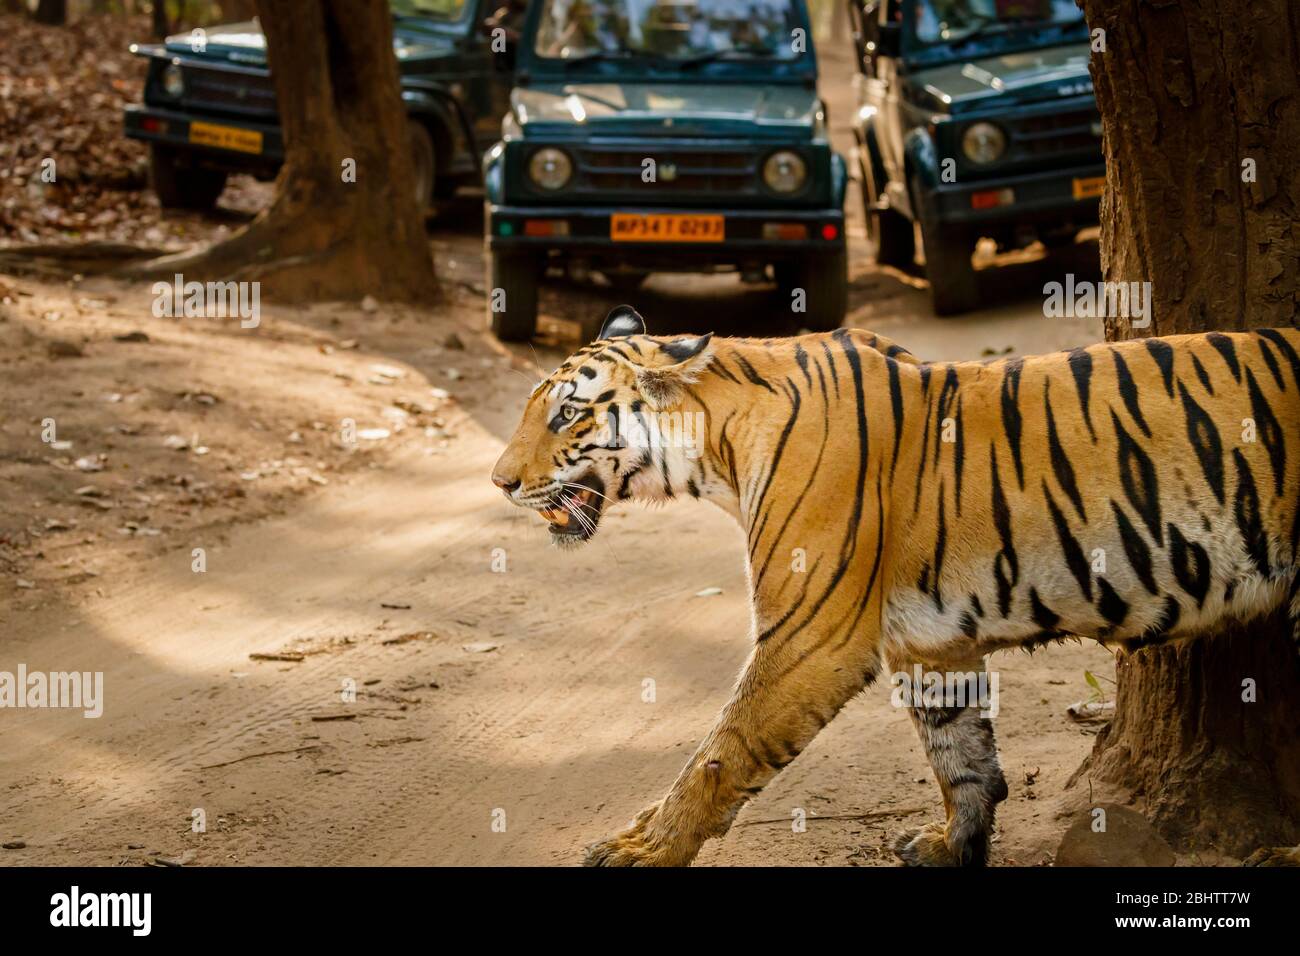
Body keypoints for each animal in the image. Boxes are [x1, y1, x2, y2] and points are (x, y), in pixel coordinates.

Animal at [488, 308, 1300, 868]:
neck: (718, 448)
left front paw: (644, 849)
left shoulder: (811, 637)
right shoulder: (932, 640)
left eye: (567, 414)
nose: (499, 482)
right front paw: (952, 845)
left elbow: (719, 752)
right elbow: (962, 756)